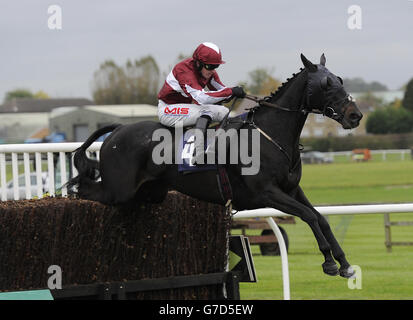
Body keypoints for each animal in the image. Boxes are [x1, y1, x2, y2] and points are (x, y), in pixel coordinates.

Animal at [67, 54, 360, 278]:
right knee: (82, 188)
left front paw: (344, 263)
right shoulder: (267, 193)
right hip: (119, 190)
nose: (355, 115)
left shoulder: (291, 189)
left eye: (339, 80)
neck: (269, 135)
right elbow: (309, 216)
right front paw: (329, 262)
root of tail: (117, 129)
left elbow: (320, 218)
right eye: (326, 84)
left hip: (148, 194)